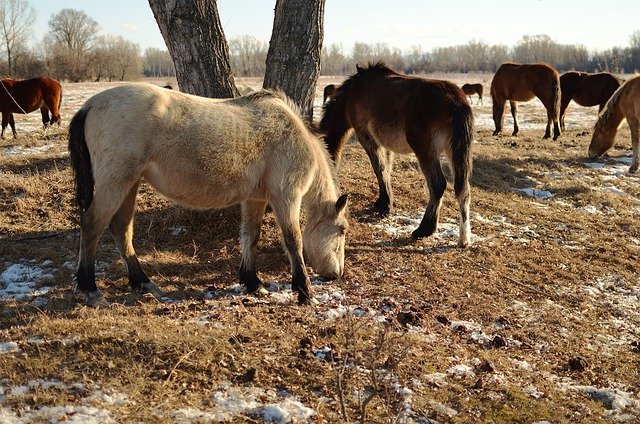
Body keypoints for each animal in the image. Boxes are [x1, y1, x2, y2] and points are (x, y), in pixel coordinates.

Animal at [67, 84, 348, 306]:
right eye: (342, 229)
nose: (336, 274)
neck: (293, 135)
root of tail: (90, 105)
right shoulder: (286, 197)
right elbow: (293, 241)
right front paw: (304, 292)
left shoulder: (255, 199)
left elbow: (250, 236)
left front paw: (252, 282)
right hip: (115, 183)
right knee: (92, 225)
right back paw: (91, 290)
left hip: (130, 184)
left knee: (121, 229)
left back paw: (143, 282)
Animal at [320, 63, 476, 248]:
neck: (354, 92)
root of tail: (456, 101)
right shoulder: (384, 145)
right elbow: (385, 170)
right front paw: (384, 202)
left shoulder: (367, 137)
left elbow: (379, 168)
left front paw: (384, 205)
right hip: (455, 153)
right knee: (463, 190)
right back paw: (464, 238)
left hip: (426, 152)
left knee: (437, 185)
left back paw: (423, 230)